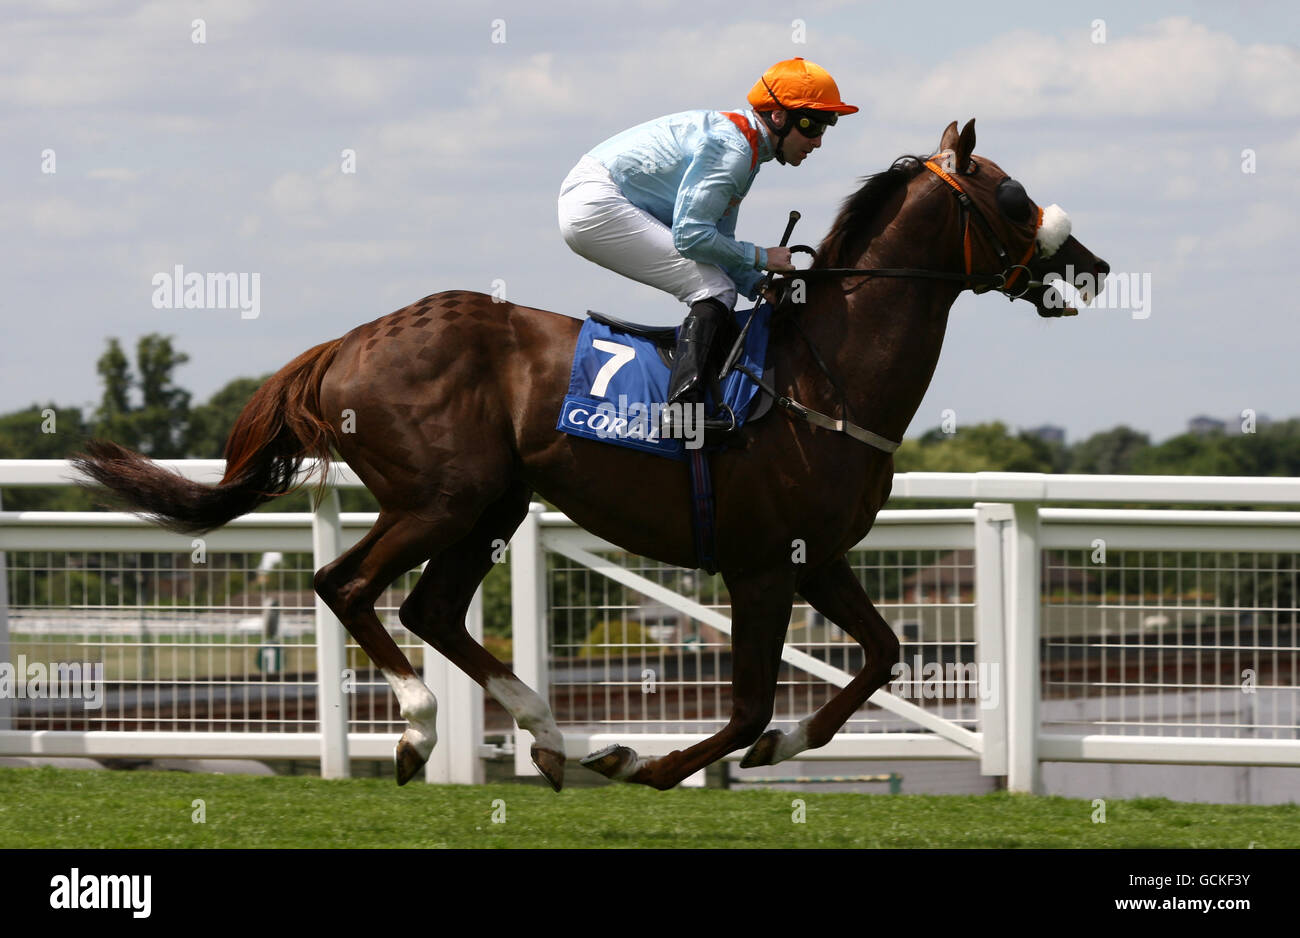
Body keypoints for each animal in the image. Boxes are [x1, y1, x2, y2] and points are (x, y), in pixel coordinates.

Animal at [71, 116, 1107, 789]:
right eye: (1014, 197)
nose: (1088, 263)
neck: (823, 374)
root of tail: (349, 343)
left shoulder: (815, 557)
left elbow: (884, 657)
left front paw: (761, 749)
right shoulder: (762, 563)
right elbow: (746, 705)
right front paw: (654, 763)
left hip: (493, 504)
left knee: (431, 608)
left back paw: (554, 738)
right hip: (443, 497)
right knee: (350, 586)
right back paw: (420, 732)